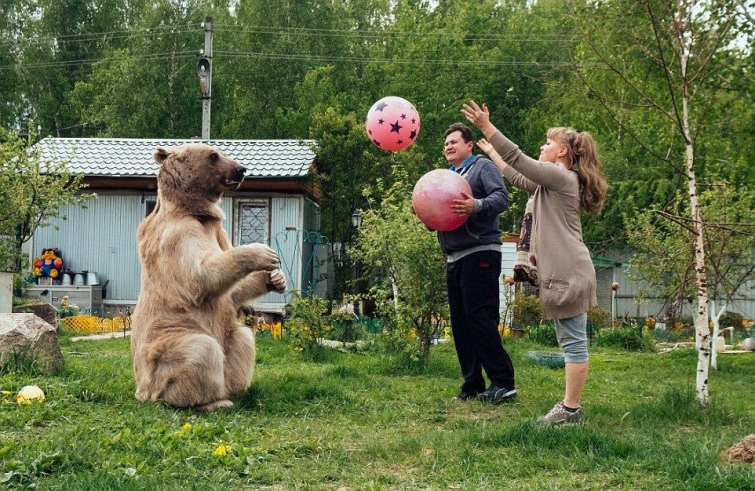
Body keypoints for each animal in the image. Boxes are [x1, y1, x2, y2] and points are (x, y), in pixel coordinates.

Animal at [130, 144, 286, 414]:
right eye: (214, 156)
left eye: (220, 152)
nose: (241, 169)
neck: (197, 212)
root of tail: (143, 391)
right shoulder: (178, 234)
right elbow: (200, 275)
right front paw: (263, 253)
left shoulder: (219, 233)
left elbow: (232, 292)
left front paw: (275, 278)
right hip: (164, 343)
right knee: (201, 351)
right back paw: (210, 401)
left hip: (225, 332)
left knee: (242, 339)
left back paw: (234, 389)